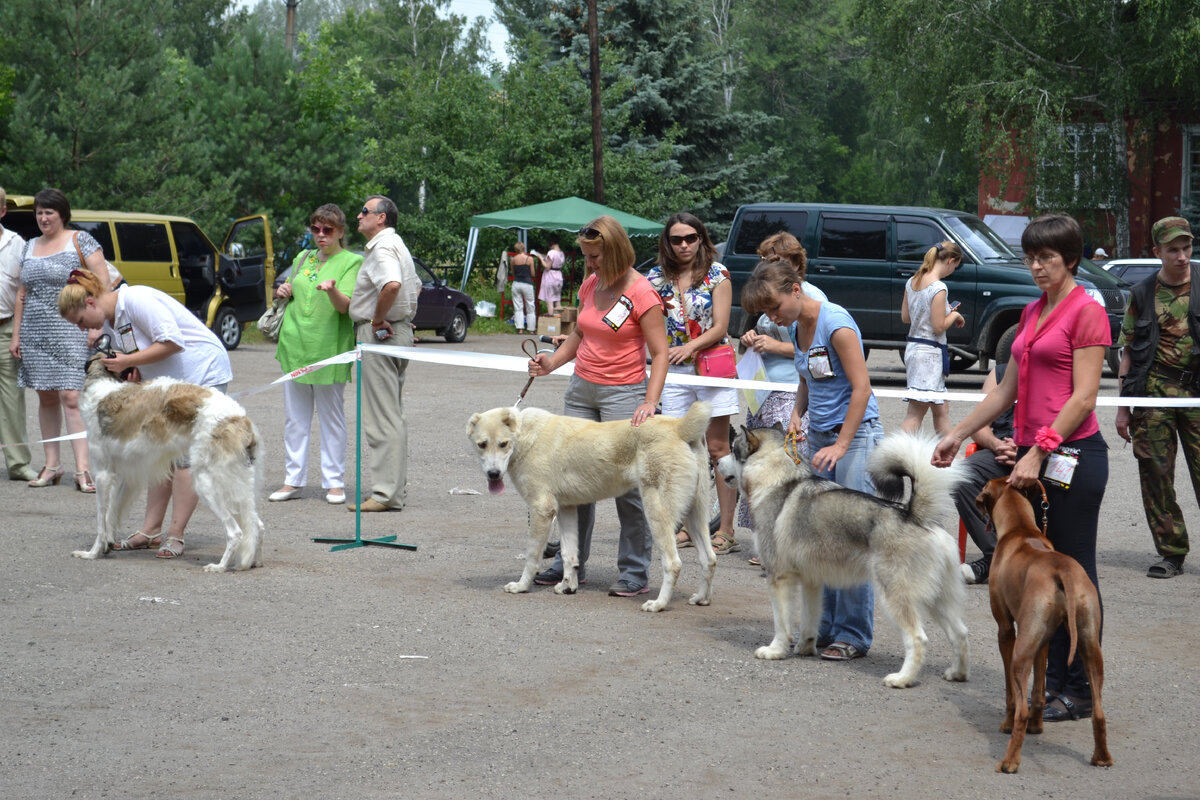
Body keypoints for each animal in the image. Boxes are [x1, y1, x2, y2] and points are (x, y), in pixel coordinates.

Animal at [73, 352, 266, 573]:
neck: (102, 384)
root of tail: (240, 419)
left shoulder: (103, 474)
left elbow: (100, 519)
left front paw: (92, 553)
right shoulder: (123, 474)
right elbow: (112, 513)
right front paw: (108, 544)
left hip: (207, 482)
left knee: (236, 533)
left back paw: (219, 566)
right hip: (239, 484)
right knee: (257, 525)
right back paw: (255, 561)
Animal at [463, 400, 710, 614]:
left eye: (503, 444)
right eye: (481, 445)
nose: (493, 474)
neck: (523, 435)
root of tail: (679, 427)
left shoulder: (541, 510)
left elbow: (532, 555)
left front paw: (521, 586)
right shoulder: (566, 509)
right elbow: (569, 554)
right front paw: (568, 586)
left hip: (657, 513)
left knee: (673, 563)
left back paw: (659, 604)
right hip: (695, 514)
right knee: (709, 558)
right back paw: (701, 598)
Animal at [715, 431, 969, 690]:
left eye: (733, 450)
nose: (716, 462)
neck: (777, 479)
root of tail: (914, 515)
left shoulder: (778, 578)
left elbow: (781, 622)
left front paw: (775, 650)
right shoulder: (811, 581)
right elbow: (809, 619)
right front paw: (805, 647)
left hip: (895, 597)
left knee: (918, 638)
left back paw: (902, 678)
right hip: (939, 599)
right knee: (960, 632)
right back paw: (957, 674)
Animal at [969, 479, 1108, 772]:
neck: (1021, 529)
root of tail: (1061, 570)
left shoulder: (1006, 631)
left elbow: (1011, 694)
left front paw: (1007, 725)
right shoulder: (1044, 639)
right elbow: (1040, 690)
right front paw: (1037, 726)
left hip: (1021, 651)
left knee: (1020, 706)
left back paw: (1009, 761)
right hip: (1089, 643)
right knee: (1099, 711)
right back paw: (1102, 757)